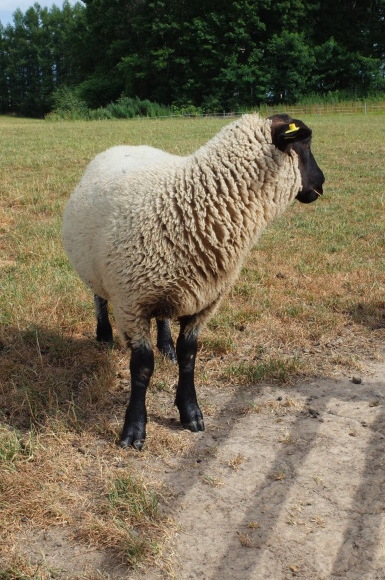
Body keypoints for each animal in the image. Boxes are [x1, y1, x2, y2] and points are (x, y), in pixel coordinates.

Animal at [62, 112, 324, 448]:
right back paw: (105, 335)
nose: (321, 183)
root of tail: (123, 146)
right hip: (96, 268)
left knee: (163, 318)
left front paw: (190, 411)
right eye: (305, 143)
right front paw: (134, 429)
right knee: (99, 297)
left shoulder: (205, 301)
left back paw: (165, 346)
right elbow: (142, 368)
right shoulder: (132, 303)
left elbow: (189, 357)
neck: (193, 201)